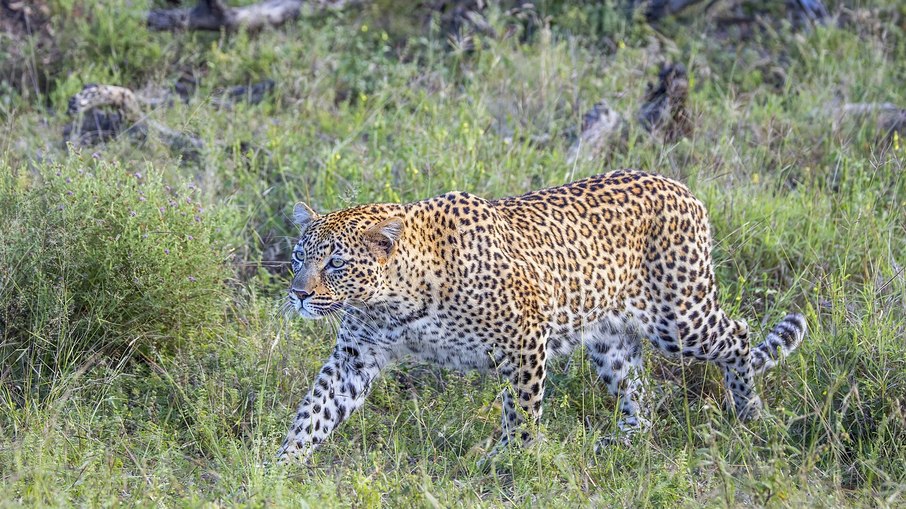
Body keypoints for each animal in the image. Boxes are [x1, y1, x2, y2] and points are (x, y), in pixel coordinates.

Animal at [276, 169, 807, 462]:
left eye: (336, 263)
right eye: (300, 256)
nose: (298, 294)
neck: (393, 303)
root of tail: (684, 189)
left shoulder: (525, 337)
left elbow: (522, 411)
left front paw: (510, 463)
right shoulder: (355, 358)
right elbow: (315, 411)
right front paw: (280, 466)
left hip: (680, 318)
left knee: (738, 336)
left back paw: (750, 412)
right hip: (611, 339)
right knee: (639, 393)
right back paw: (624, 441)